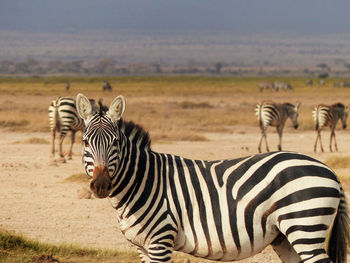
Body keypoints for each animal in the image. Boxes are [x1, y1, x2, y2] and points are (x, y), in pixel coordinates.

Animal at [75, 94, 348, 263]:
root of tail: (330, 171)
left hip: (305, 225)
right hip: (285, 236)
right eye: (85, 142)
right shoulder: (141, 247)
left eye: (115, 142)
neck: (142, 182)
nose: (101, 185)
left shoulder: (161, 240)